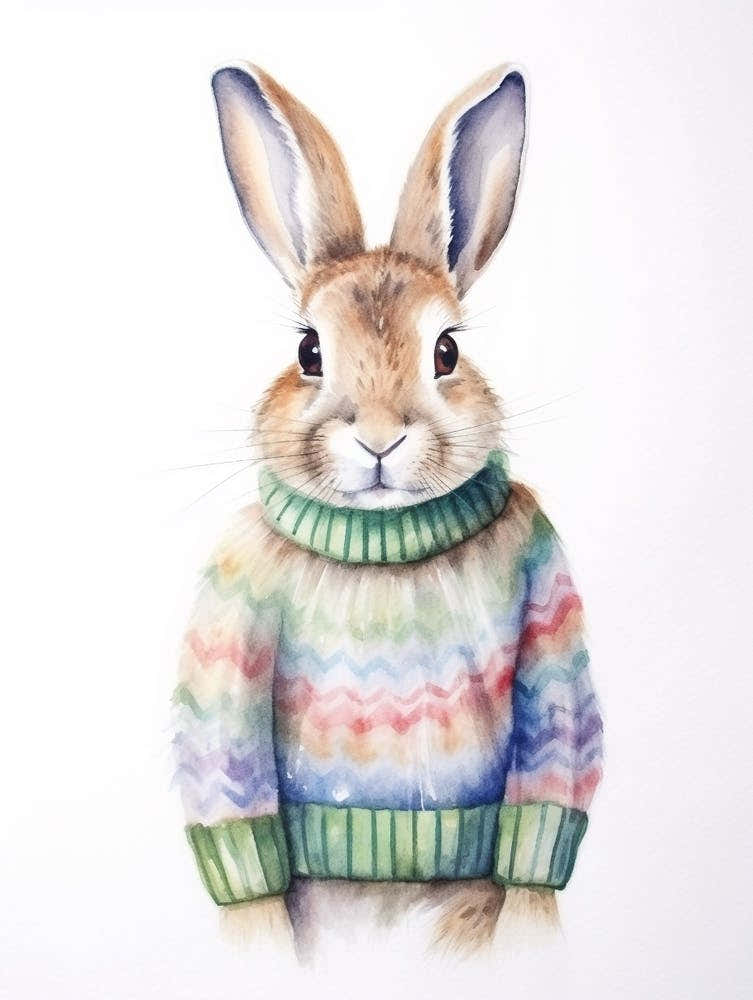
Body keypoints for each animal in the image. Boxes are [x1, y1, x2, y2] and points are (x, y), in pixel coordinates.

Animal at [173, 61, 603, 962]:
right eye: (308, 351)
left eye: (445, 351)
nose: (378, 439)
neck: (381, 533)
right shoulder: (232, 609)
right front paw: (257, 934)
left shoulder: (546, 597)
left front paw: (531, 928)